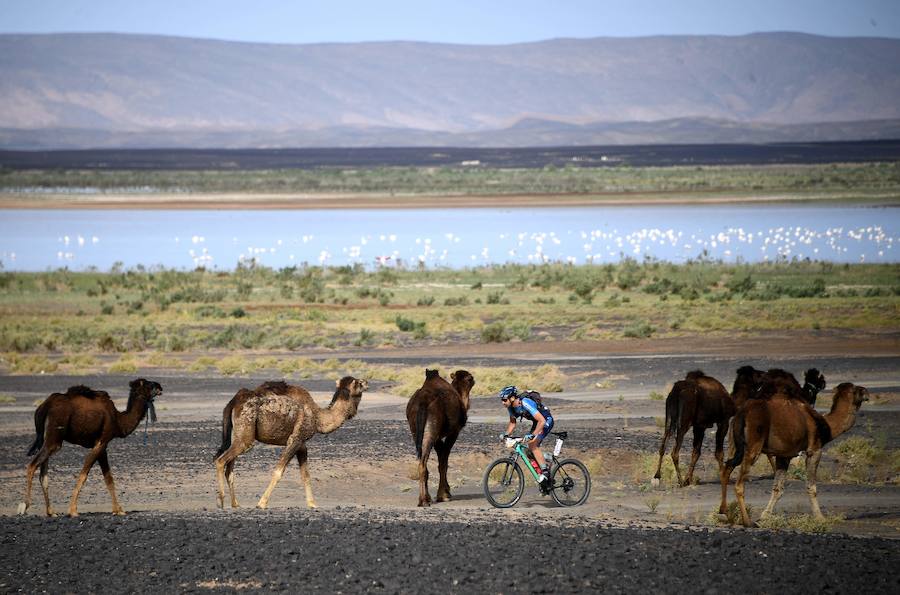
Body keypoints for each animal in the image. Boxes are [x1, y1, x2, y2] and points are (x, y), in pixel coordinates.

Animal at [18, 382, 163, 516]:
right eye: (149, 384)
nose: (160, 387)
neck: (118, 421)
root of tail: (44, 406)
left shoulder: (102, 447)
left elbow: (109, 478)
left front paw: (118, 510)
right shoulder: (102, 442)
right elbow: (84, 475)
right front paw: (72, 510)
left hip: (48, 439)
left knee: (43, 474)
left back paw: (51, 512)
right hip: (55, 439)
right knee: (33, 465)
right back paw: (24, 506)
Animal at [216, 378, 368, 512]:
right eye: (359, 383)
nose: (367, 382)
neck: (317, 417)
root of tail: (234, 402)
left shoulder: (301, 445)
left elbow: (305, 475)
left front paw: (312, 504)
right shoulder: (295, 439)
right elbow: (278, 471)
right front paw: (261, 503)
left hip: (238, 434)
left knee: (229, 466)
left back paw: (235, 504)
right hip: (246, 433)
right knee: (220, 460)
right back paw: (220, 501)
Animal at [408, 370, 478, 506]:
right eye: (470, 378)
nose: (474, 379)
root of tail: (422, 402)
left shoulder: (438, 437)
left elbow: (441, 458)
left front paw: (442, 493)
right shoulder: (454, 432)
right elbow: (444, 460)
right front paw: (444, 495)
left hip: (415, 430)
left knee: (422, 461)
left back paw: (424, 499)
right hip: (431, 428)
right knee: (424, 462)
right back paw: (424, 501)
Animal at [720, 382, 868, 528]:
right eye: (857, 390)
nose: (866, 392)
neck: (825, 427)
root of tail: (742, 414)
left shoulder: (784, 456)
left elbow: (778, 488)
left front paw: (765, 516)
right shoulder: (814, 450)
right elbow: (811, 486)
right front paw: (820, 518)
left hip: (734, 444)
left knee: (726, 470)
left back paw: (724, 513)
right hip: (753, 444)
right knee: (739, 484)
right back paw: (747, 522)